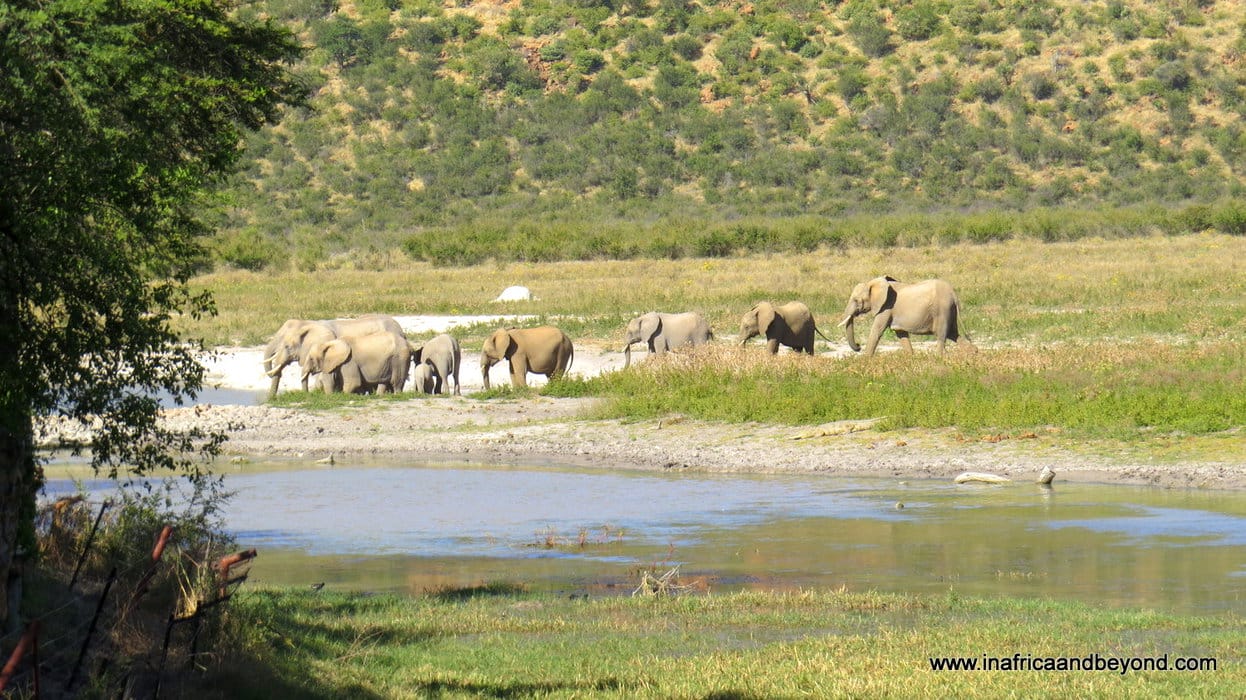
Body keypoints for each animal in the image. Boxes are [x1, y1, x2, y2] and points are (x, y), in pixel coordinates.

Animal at [838, 276, 976, 356]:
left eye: (856, 300)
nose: (858, 345)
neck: (873, 283)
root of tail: (954, 294)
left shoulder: (886, 307)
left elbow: (877, 331)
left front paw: (865, 361)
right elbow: (901, 334)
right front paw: (911, 358)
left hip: (942, 310)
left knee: (942, 335)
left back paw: (939, 358)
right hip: (949, 311)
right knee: (953, 334)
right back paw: (974, 354)